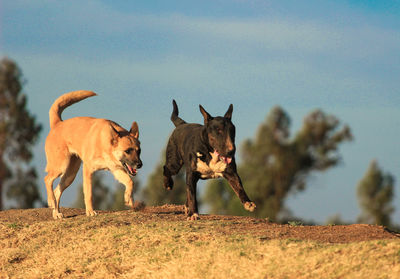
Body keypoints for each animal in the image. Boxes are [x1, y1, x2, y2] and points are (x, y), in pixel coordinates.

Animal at [44, 91, 141, 220]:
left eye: (139, 151)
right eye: (128, 150)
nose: (139, 165)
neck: (105, 143)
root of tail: (58, 123)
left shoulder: (116, 170)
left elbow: (130, 182)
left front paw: (128, 199)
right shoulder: (88, 169)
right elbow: (89, 193)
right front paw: (90, 211)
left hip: (70, 175)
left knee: (57, 191)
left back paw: (56, 213)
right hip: (61, 166)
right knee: (47, 179)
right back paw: (51, 201)